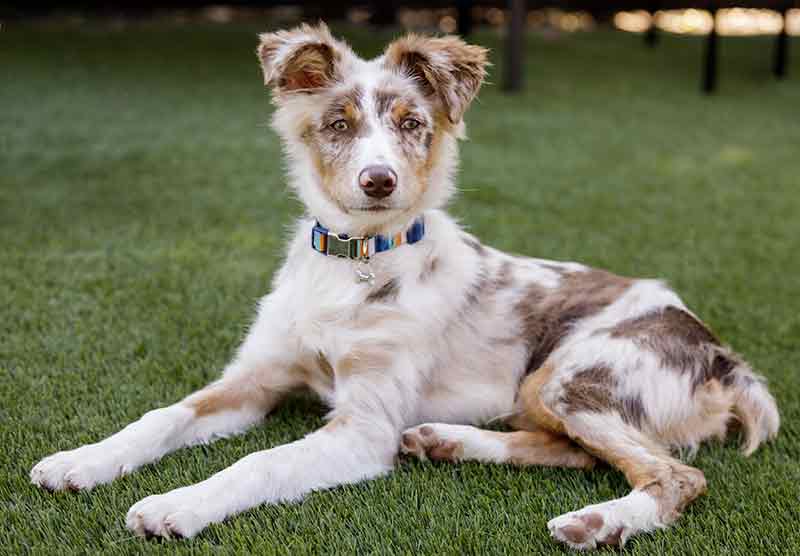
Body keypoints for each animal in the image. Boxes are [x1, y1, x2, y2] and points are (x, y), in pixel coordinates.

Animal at [32, 23, 780, 548]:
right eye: (338, 125)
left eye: (412, 125)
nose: (379, 181)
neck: (352, 264)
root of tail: (725, 357)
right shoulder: (254, 378)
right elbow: (162, 416)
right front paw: (80, 461)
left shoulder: (362, 428)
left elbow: (258, 463)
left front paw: (175, 504)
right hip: (545, 391)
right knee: (570, 451)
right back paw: (446, 441)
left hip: (573, 375)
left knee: (675, 474)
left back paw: (599, 523)